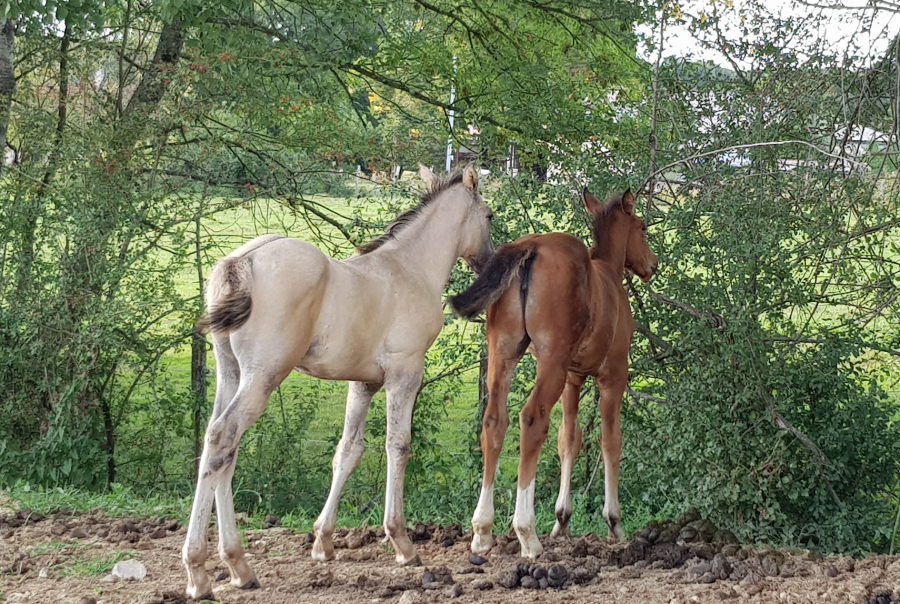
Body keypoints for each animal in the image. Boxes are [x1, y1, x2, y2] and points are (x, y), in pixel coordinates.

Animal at [454, 188, 656, 556]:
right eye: (642, 227)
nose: (652, 264)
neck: (607, 273)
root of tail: (531, 247)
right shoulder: (613, 376)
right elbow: (610, 441)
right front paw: (613, 521)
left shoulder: (574, 378)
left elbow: (569, 439)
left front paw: (562, 518)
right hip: (551, 362)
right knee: (532, 419)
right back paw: (526, 532)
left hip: (504, 354)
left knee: (494, 421)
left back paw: (483, 531)